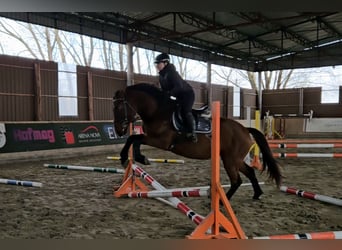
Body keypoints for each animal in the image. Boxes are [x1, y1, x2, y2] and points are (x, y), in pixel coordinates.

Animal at [113, 83, 282, 200]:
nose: (118, 130)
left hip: (230, 159)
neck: (158, 111)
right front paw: (133, 158)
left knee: (236, 180)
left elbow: (134, 139)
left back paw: (223, 201)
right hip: (235, 159)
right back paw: (256, 194)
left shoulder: (161, 141)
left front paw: (132, 158)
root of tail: (245, 129)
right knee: (250, 172)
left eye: (119, 107)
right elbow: (134, 139)